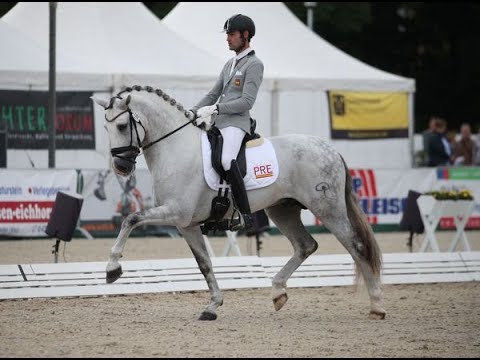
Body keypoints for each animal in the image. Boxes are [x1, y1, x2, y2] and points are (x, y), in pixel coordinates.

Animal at [92, 85, 386, 320]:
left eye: (121, 126)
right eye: (105, 127)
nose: (120, 167)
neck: (176, 148)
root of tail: (330, 149)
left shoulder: (176, 212)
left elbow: (131, 219)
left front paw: (112, 268)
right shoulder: (185, 224)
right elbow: (204, 264)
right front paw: (212, 306)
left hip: (327, 207)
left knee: (356, 247)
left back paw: (377, 306)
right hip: (282, 209)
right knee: (306, 245)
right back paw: (278, 292)